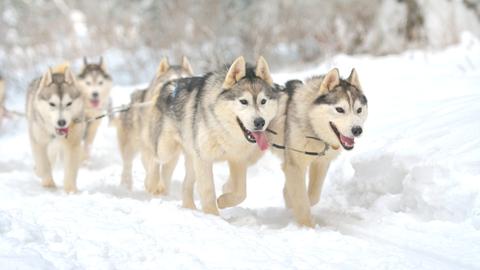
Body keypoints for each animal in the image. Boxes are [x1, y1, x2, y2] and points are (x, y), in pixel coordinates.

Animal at [25, 63, 85, 192]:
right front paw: (48, 185)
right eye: (52, 104)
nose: (61, 122)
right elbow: (43, 164)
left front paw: (71, 191)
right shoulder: (38, 142)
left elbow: (70, 169)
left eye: (69, 103)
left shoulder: (72, 145)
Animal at [114, 56, 193, 189]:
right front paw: (152, 184)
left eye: (186, 82)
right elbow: (152, 167)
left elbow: (166, 173)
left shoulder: (173, 153)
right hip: (130, 147)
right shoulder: (150, 147)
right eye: (170, 81)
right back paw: (126, 185)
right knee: (127, 164)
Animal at [146, 56, 280, 214]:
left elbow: (241, 193)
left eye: (263, 101)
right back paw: (152, 184)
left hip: (191, 160)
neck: (223, 129)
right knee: (154, 158)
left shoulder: (238, 160)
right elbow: (208, 191)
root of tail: (170, 84)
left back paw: (189, 207)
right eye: (243, 101)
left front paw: (222, 201)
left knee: (185, 184)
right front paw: (213, 215)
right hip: (167, 150)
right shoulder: (204, 159)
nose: (260, 122)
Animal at [262, 68, 368, 227]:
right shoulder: (295, 165)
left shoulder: (321, 163)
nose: (357, 130)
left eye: (359, 110)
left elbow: (311, 196)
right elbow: (301, 200)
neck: (312, 127)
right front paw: (307, 226)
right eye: (339, 109)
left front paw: (290, 203)